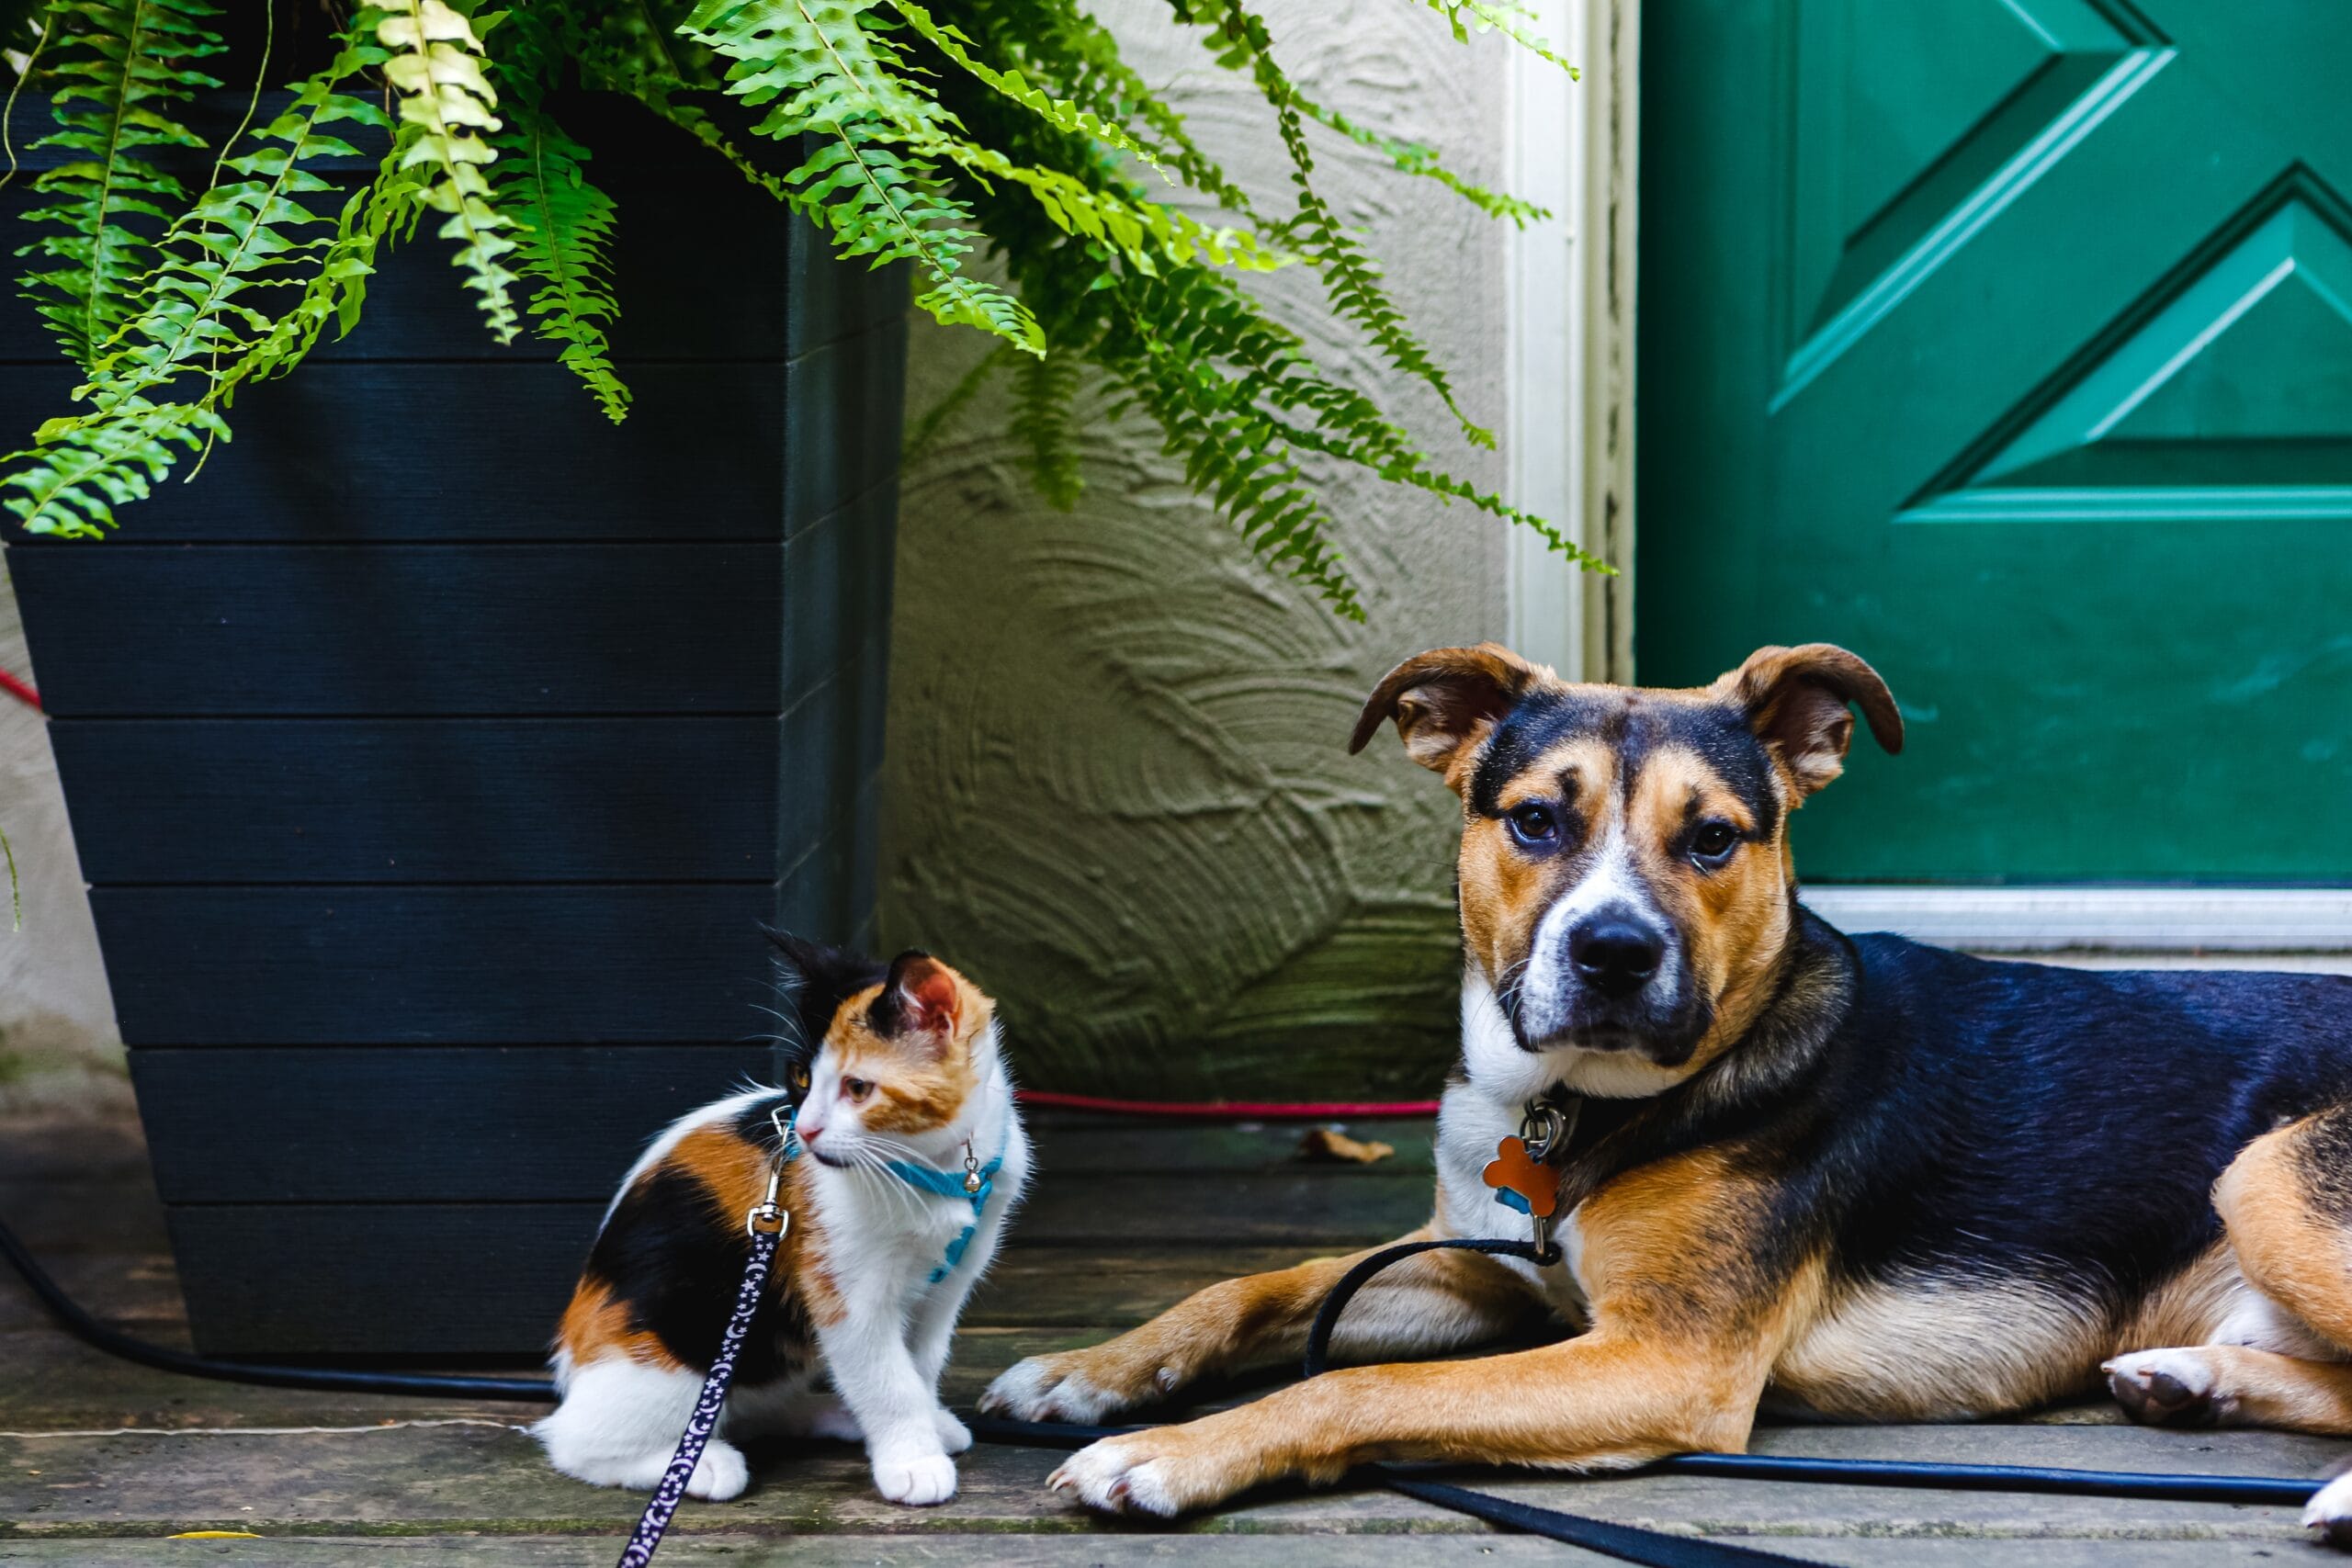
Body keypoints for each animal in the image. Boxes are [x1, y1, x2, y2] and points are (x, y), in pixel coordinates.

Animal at [536, 931, 1030, 1504]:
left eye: (858, 1088)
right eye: (800, 1076)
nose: (806, 1131)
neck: (935, 1170)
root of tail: (572, 1362)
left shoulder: (949, 1282)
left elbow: (921, 1362)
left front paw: (929, 1423)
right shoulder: (844, 1294)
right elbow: (887, 1380)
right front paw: (913, 1460)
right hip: (678, 1345)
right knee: (574, 1440)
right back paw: (700, 1466)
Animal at [968, 639, 2352, 1541]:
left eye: (1714, 838)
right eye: (1534, 820)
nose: (1615, 952)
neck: (1577, 1100)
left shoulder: (1664, 1357)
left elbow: (1354, 1385)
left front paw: (1169, 1451)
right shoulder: (1472, 1269)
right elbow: (1256, 1286)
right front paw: (1091, 1371)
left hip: (2270, 1174)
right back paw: (2193, 1380)